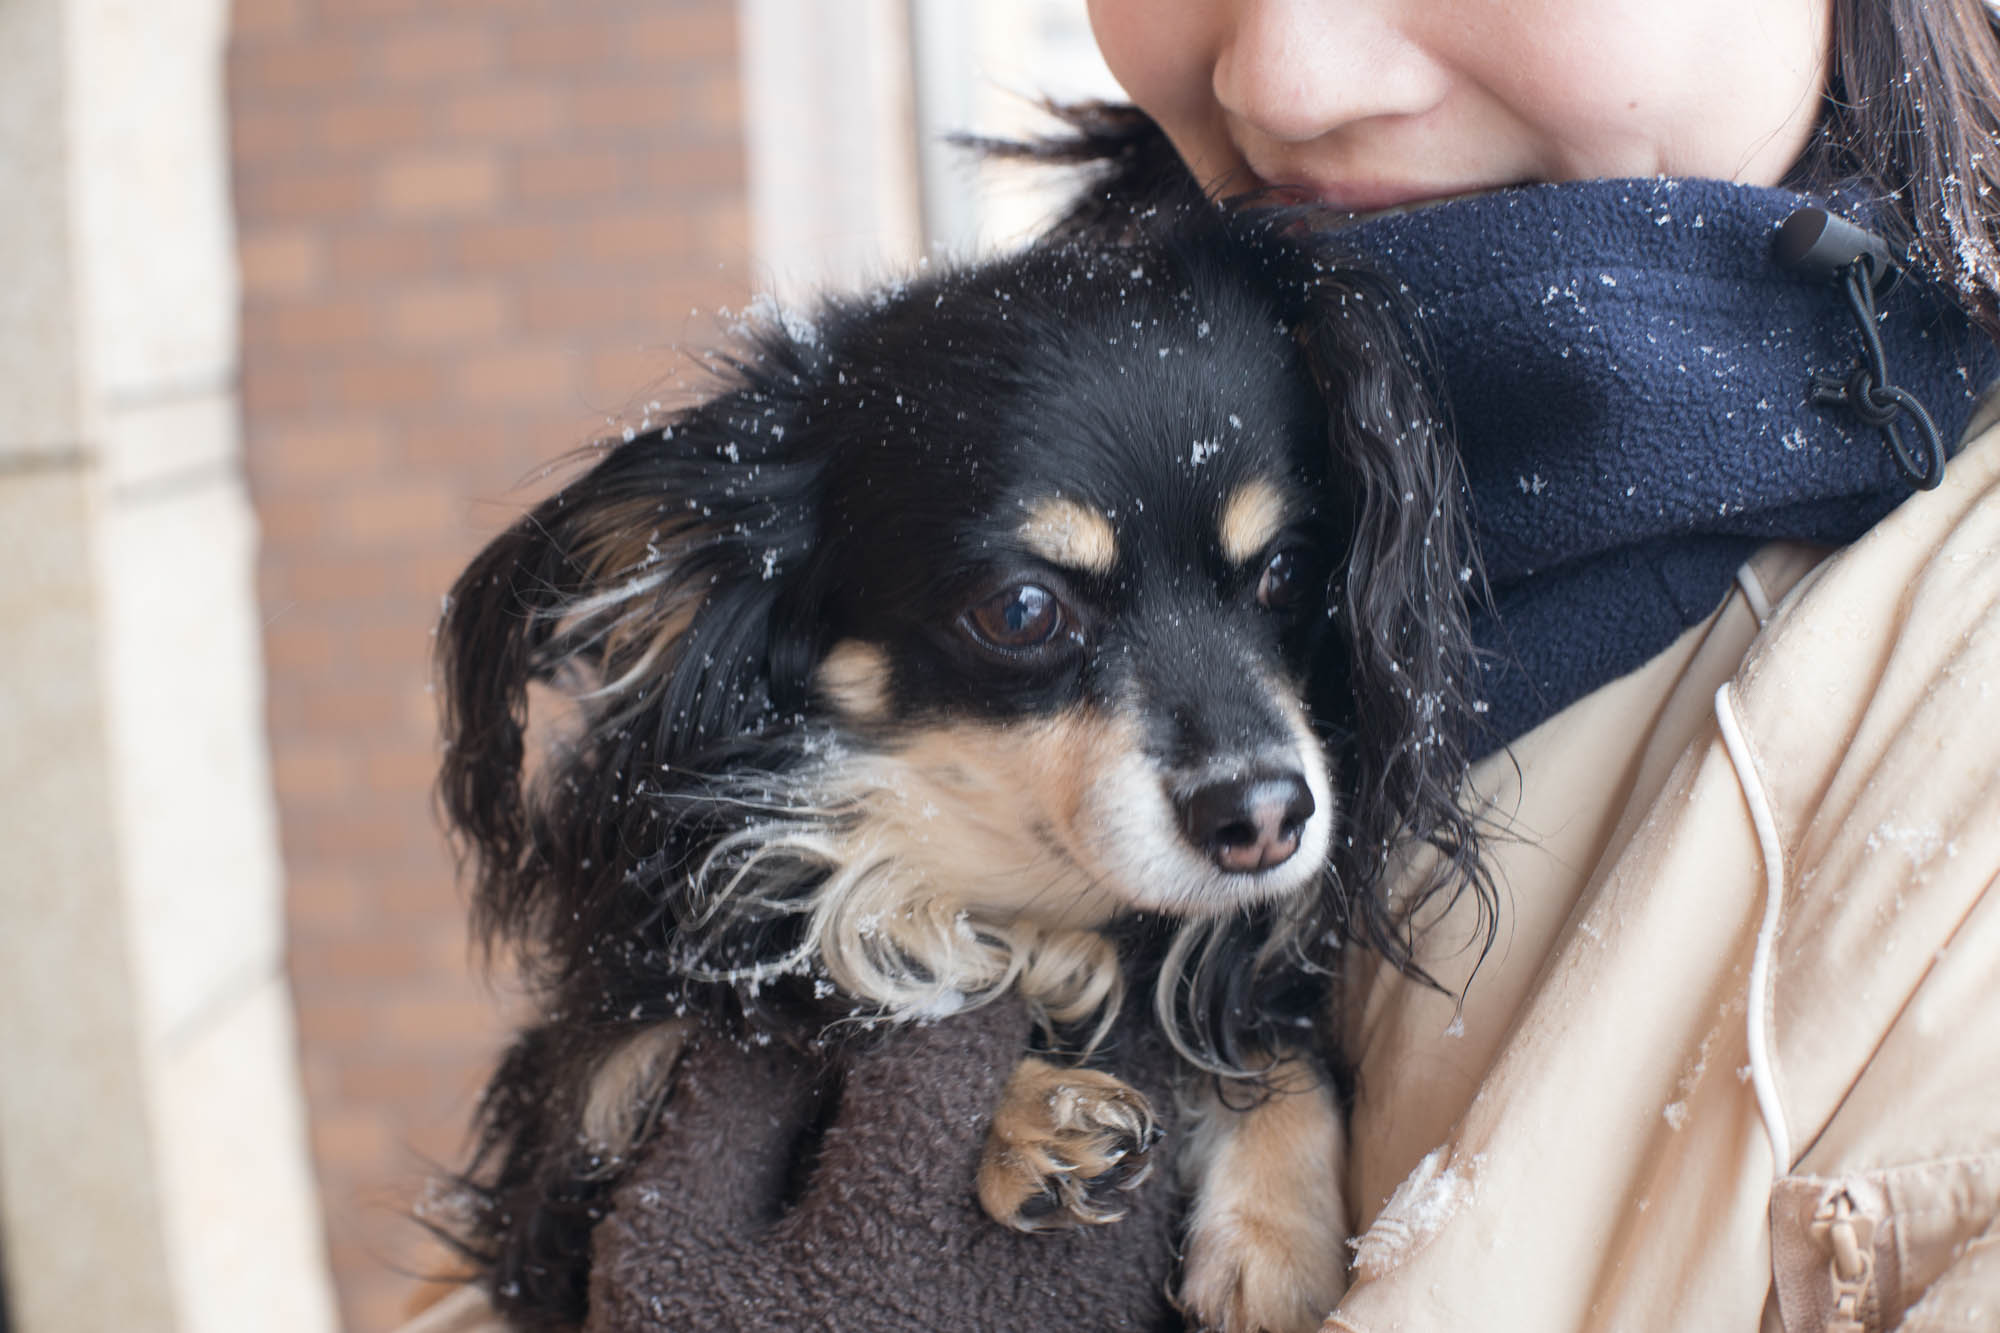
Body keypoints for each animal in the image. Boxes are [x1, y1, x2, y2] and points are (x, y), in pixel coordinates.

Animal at [434, 199, 1483, 1332]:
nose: (1264, 815)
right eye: (1021, 611)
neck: (1020, 900)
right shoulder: (579, 1143)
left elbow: (1273, 1049)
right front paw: (1033, 1111)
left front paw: (1276, 1242)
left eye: (1288, 573)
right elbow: (840, 997)